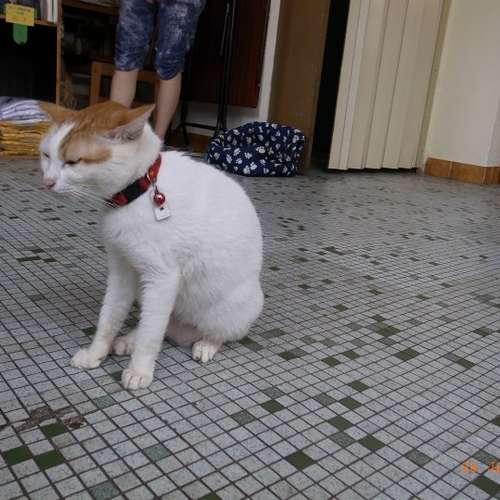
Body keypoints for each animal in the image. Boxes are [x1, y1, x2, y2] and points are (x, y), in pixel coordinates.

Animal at [39, 101, 264, 390]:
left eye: (73, 161)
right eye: (46, 155)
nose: (47, 182)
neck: (139, 190)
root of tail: (185, 327)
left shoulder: (162, 278)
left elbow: (150, 335)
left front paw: (140, 369)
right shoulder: (121, 271)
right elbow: (109, 318)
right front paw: (96, 353)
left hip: (230, 307)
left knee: (211, 331)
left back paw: (206, 344)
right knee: (160, 323)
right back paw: (126, 340)